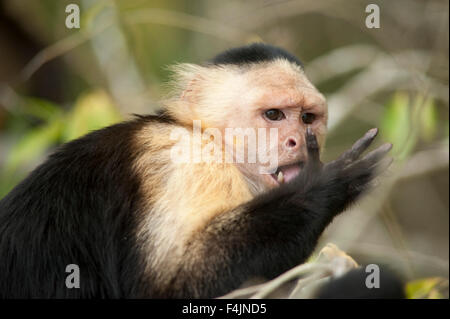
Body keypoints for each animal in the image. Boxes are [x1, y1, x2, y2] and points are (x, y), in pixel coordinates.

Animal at [0, 43, 394, 298]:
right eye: (274, 115)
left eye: (308, 118)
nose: (297, 139)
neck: (208, 137)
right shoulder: (189, 161)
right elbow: (166, 287)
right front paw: (322, 188)